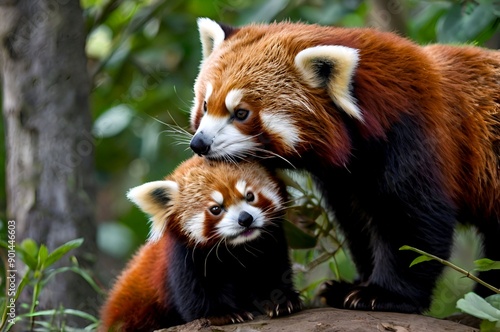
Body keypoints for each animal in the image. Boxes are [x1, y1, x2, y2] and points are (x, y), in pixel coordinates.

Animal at [98, 157, 300, 330]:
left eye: (250, 196)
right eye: (216, 209)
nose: (245, 219)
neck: (237, 249)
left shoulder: (268, 244)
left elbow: (272, 270)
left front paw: (281, 300)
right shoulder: (184, 257)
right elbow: (195, 292)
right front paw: (223, 314)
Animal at [188, 18, 500, 314]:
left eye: (241, 113)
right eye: (205, 105)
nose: (199, 144)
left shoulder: (413, 137)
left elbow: (414, 223)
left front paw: (384, 295)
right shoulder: (345, 178)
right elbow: (358, 225)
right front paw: (354, 285)